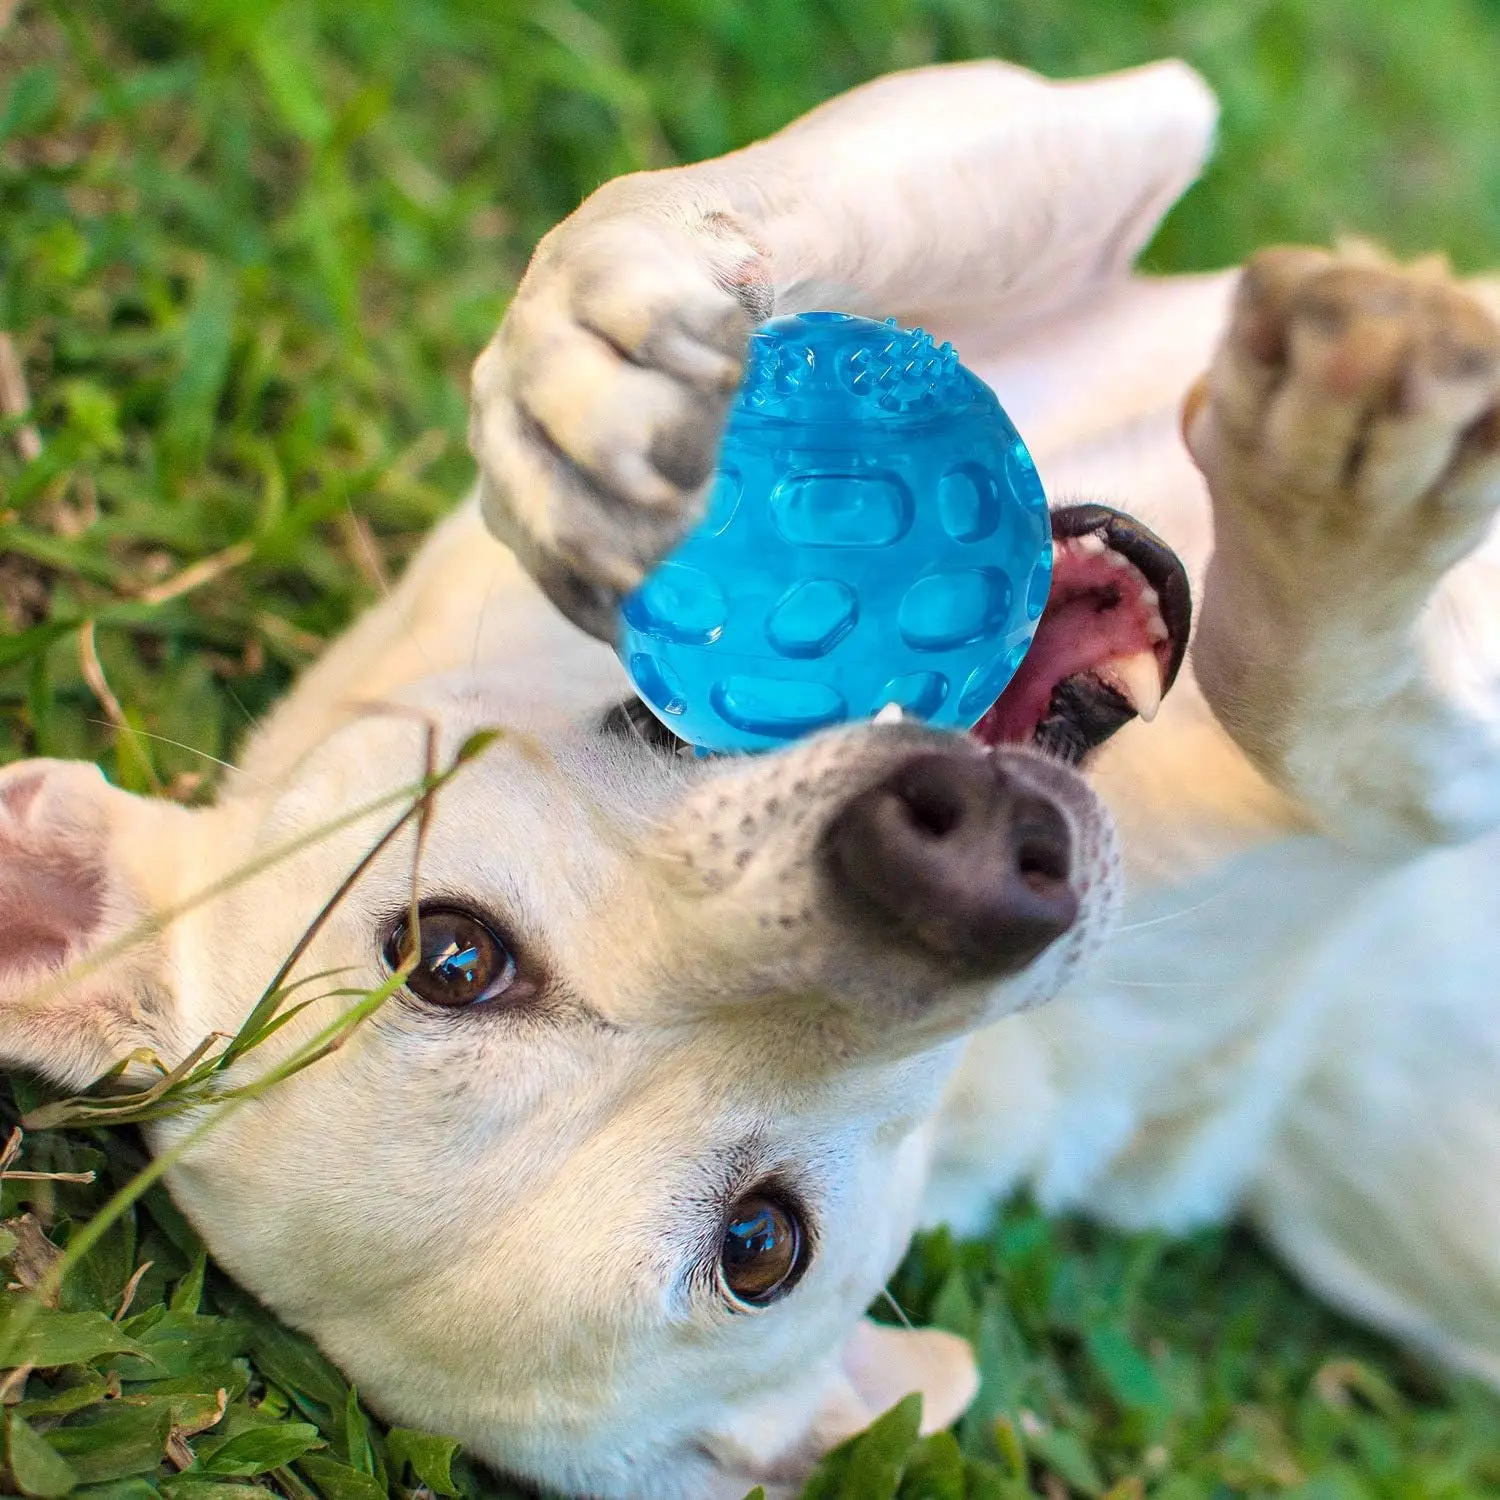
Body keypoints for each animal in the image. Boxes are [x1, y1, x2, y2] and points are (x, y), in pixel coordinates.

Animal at [2, 55, 1500, 1500]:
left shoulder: (1073, 146)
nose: (956, 863)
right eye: (763, 1245)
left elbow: (666, 214)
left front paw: (593, 351)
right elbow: (1328, 711)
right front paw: (1343, 501)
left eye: (448, 957)